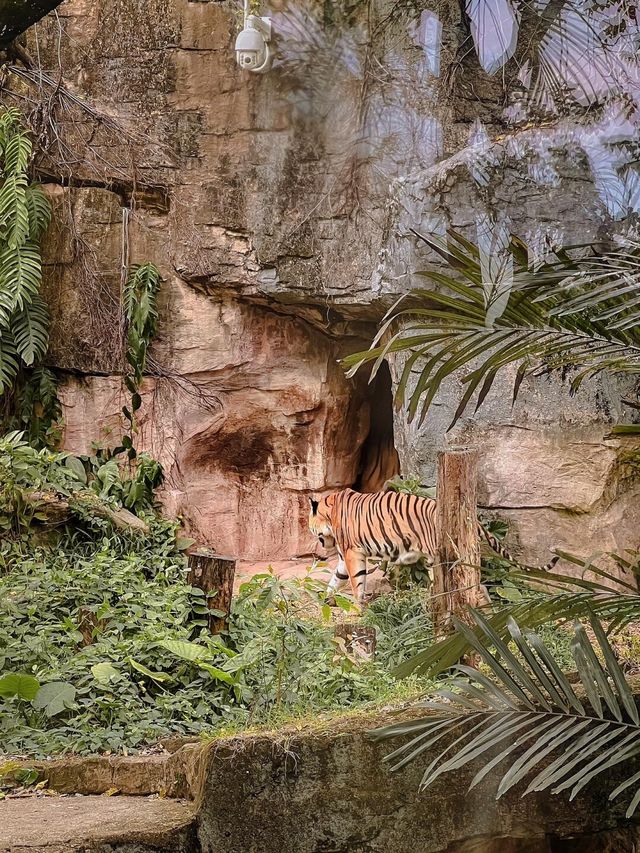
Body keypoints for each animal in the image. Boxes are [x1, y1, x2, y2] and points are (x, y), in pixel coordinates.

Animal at [308, 486, 556, 604]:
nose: (319, 547)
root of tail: (473, 517)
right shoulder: (344, 557)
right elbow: (336, 579)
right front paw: (326, 600)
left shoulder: (352, 553)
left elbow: (356, 582)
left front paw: (359, 608)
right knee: (479, 587)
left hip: (444, 558)